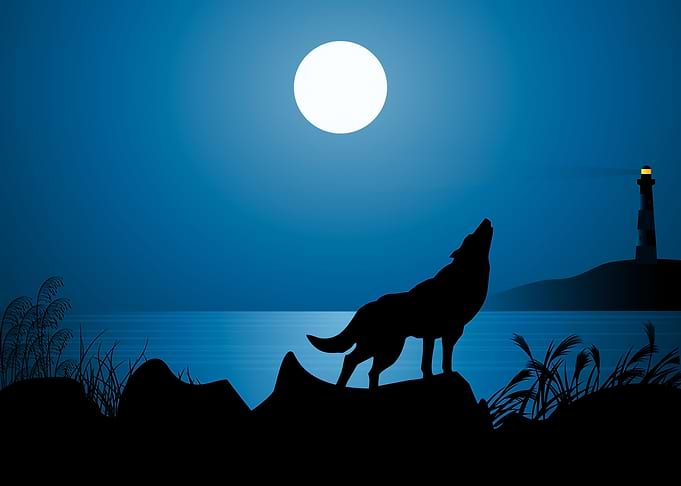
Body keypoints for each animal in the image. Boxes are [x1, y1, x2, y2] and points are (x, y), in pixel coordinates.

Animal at [307, 218, 493, 389]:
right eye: (470, 236)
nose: (485, 219)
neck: (462, 278)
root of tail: (364, 309)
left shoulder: (440, 335)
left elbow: (431, 362)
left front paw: (433, 377)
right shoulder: (444, 334)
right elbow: (441, 361)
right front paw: (445, 376)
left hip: (382, 349)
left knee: (366, 368)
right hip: (385, 348)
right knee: (353, 361)